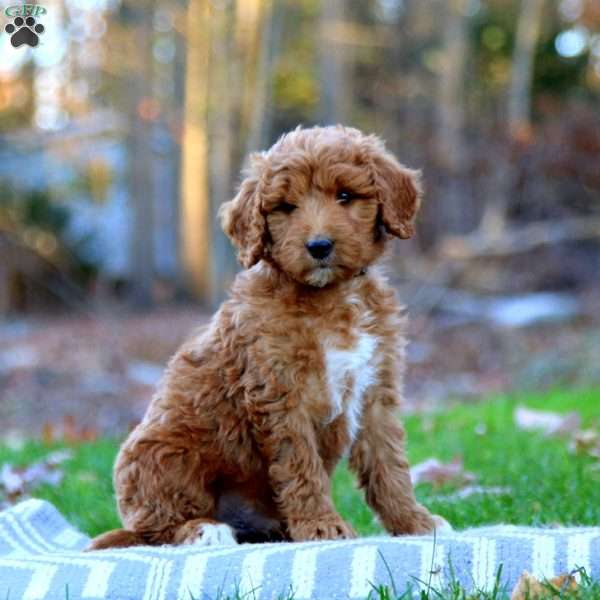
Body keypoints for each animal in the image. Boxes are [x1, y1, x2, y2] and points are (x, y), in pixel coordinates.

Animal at [90, 125, 446, 548]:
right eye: (286, 207)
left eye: (345, 196)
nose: (319, 246)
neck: (330, 297)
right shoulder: (282, 395)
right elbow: (301, 467)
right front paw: (322, 526)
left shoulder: (376, 391)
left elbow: (388, 464)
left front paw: (413, 521)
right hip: (163, 456)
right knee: (156, 527)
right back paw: (204, 530)